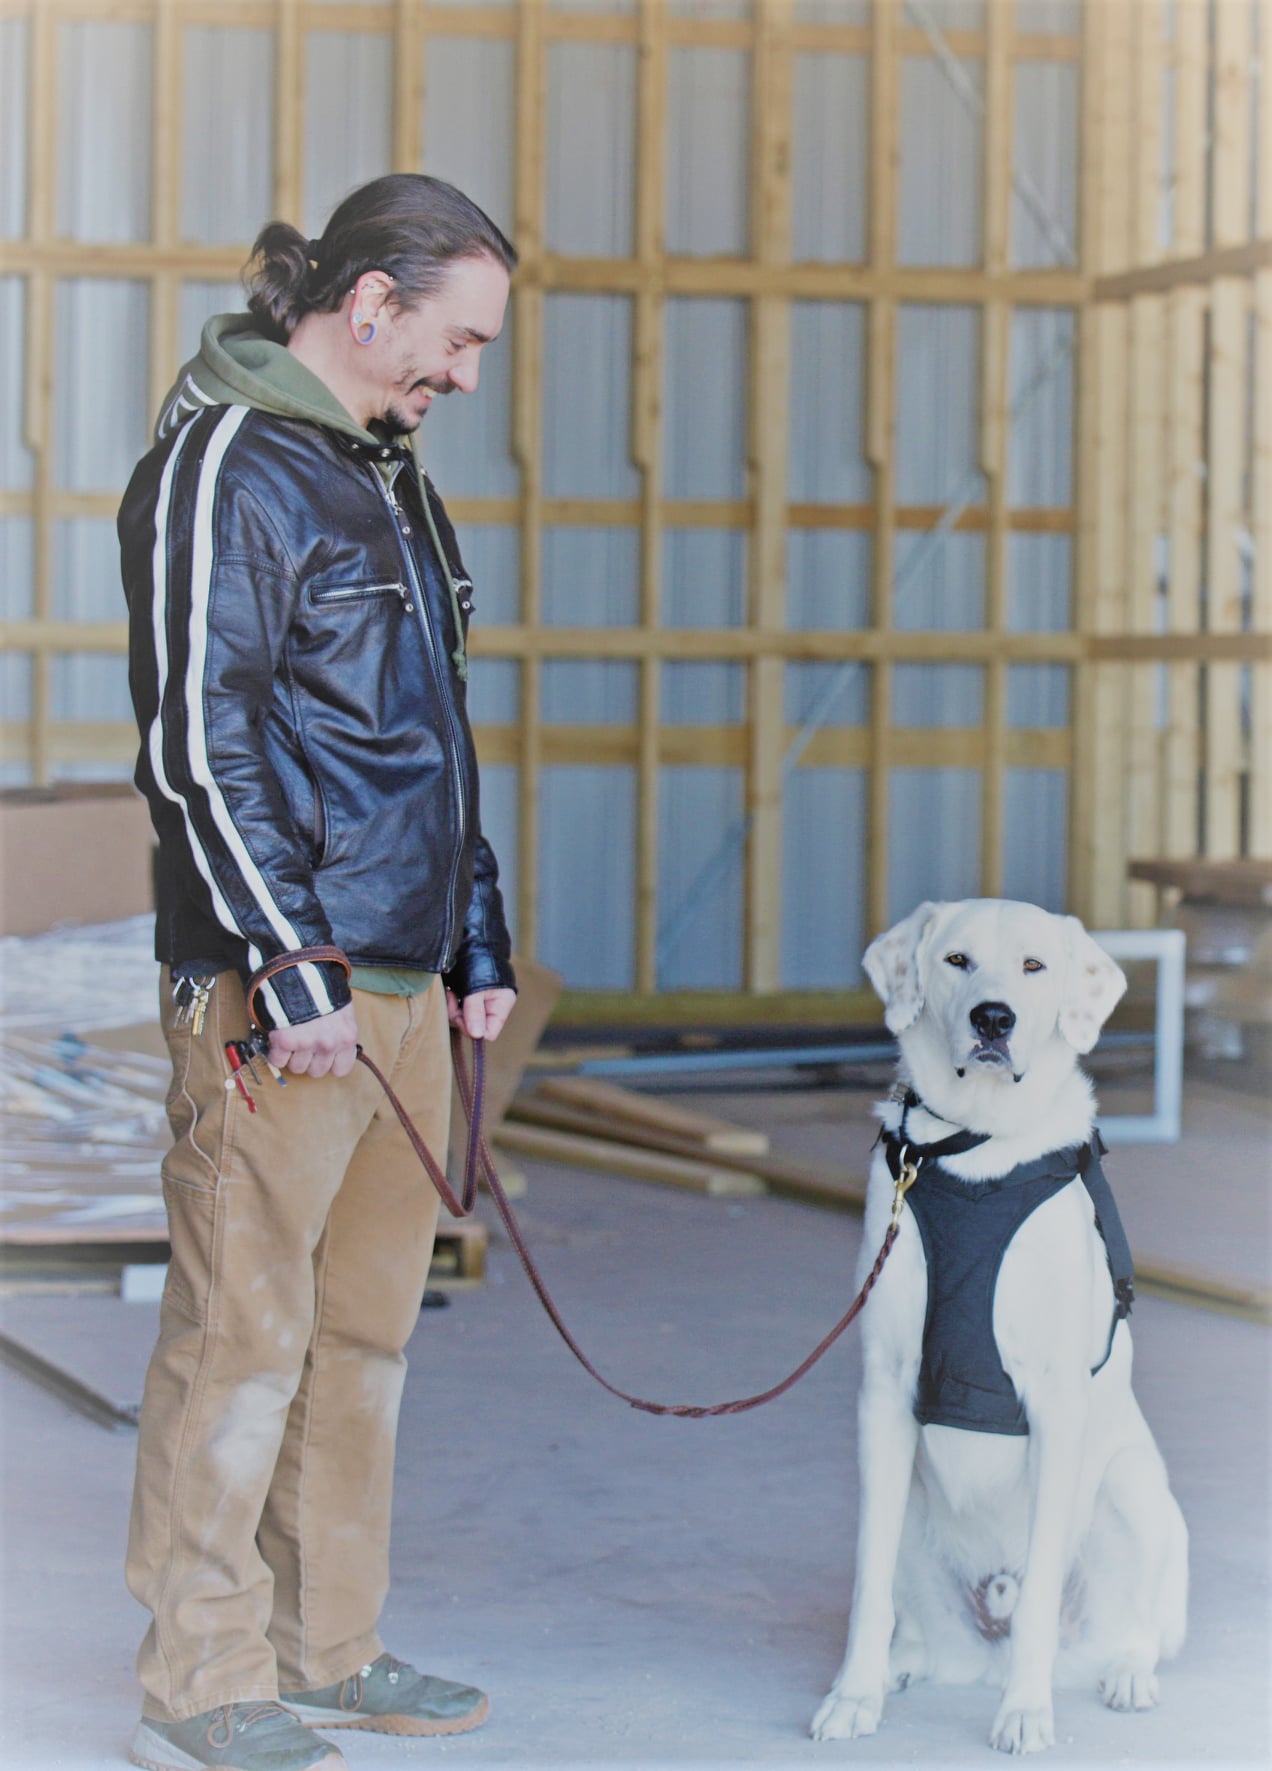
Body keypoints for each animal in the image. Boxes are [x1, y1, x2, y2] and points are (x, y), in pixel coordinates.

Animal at [811, 899, 1190, 1756]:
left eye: (1033, 966)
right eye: (956, 959)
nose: (994, 1017)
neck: (978, 1148)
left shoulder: (1056, 1402)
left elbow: (1045, 1586)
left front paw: (1025, 1711)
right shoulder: (885, 1389)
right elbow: (866, 1581)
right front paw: (854, 1693)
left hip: (1135, 1492)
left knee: (1137, 1628)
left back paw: (1124, 1674)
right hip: (911, 1500)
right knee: (912, 1612)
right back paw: (904, 1662)